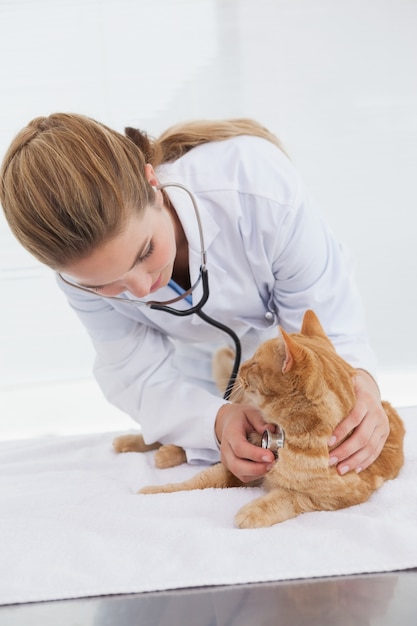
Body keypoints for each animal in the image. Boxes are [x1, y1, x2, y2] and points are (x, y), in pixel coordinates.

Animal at [113, 310, 404, 524]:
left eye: (254, 363)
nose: (240, 366)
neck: (291, 439)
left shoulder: (334, 499)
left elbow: (288, 498)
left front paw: (252, 512)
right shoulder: (238, 465)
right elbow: (196, 481)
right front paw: (153, 492)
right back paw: (137, 445)